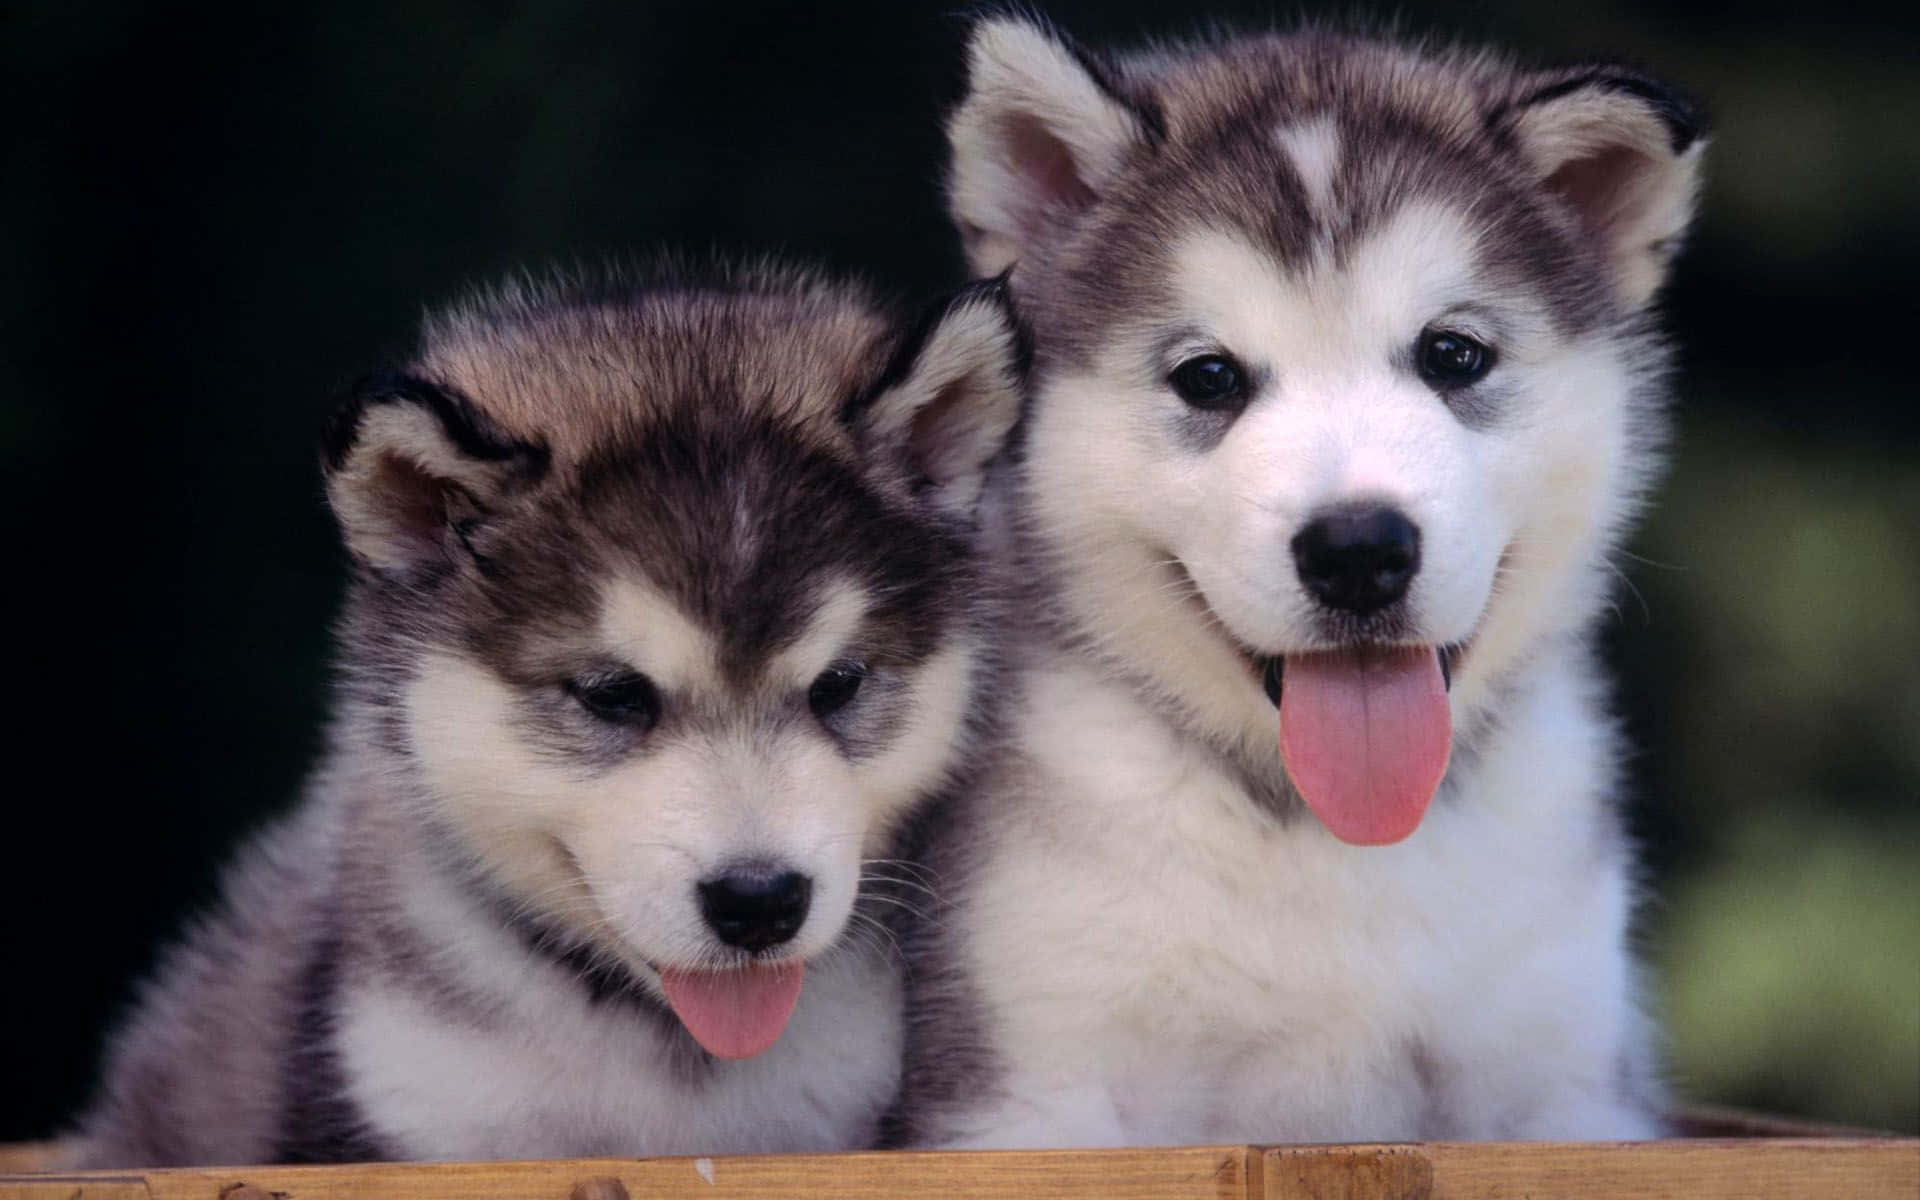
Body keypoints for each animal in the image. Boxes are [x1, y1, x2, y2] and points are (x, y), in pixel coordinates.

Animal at [890, 14, 1704, 1144]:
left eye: (1453, 355)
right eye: (1208, 377)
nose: (1358, 551)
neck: (1332, 837)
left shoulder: (1567, 1086)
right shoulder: (1027, 1086)